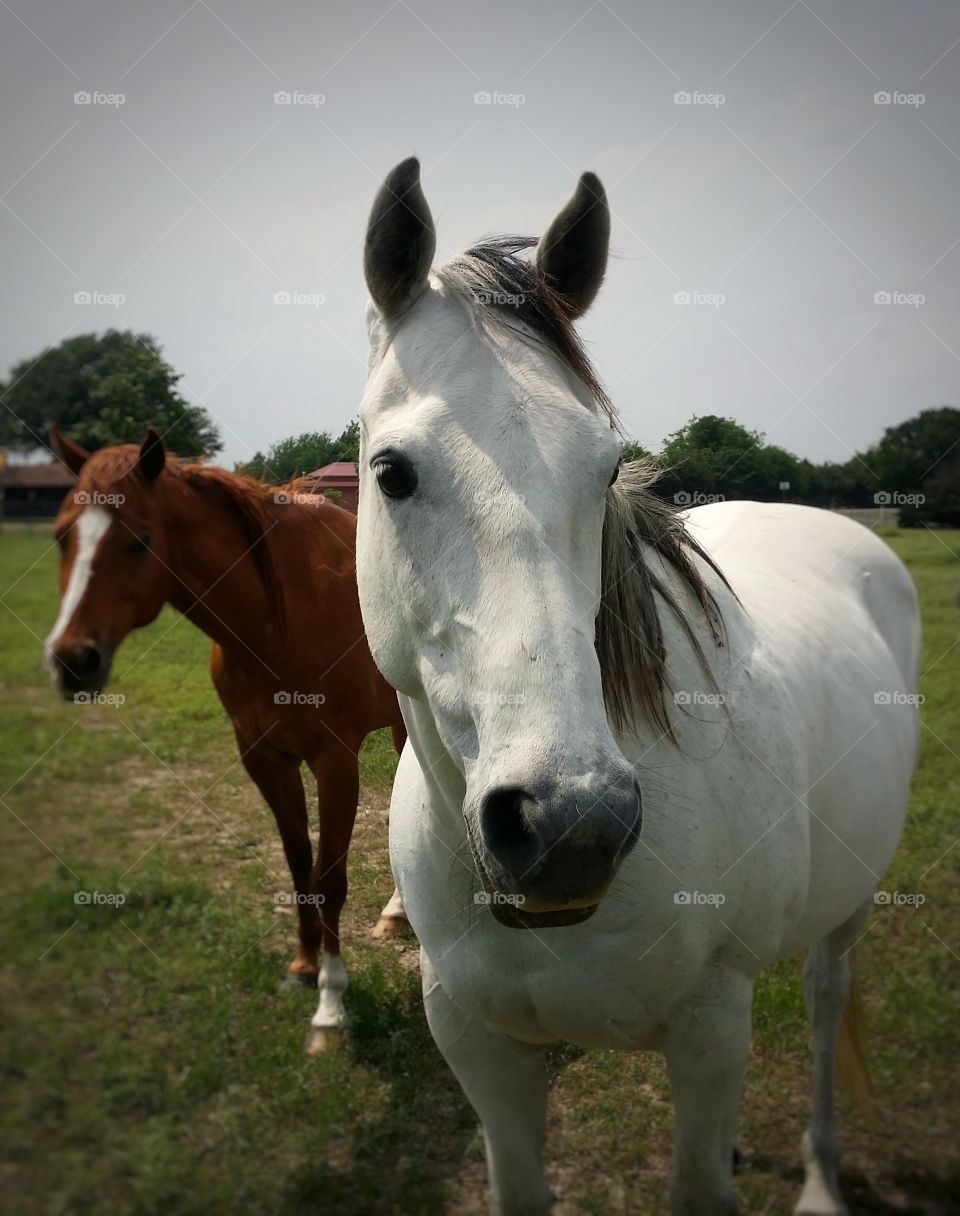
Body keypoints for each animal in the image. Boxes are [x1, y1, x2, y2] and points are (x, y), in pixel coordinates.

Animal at [45, 425, 406, 1045]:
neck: (279, 619)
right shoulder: (265, 760)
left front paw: (331, 1001)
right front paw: (303, 967)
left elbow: (330, 876)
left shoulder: (336, 761)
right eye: (62, 535)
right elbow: (299, 864)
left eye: (138, 540)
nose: (73, 662)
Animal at [352, 161, 919, 1216]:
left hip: (846, 909)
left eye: (608, 465)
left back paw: (822, 1178)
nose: (569, 825)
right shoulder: (477, 1044)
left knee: (826, 1005)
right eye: (391, 470)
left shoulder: (711, 1030)